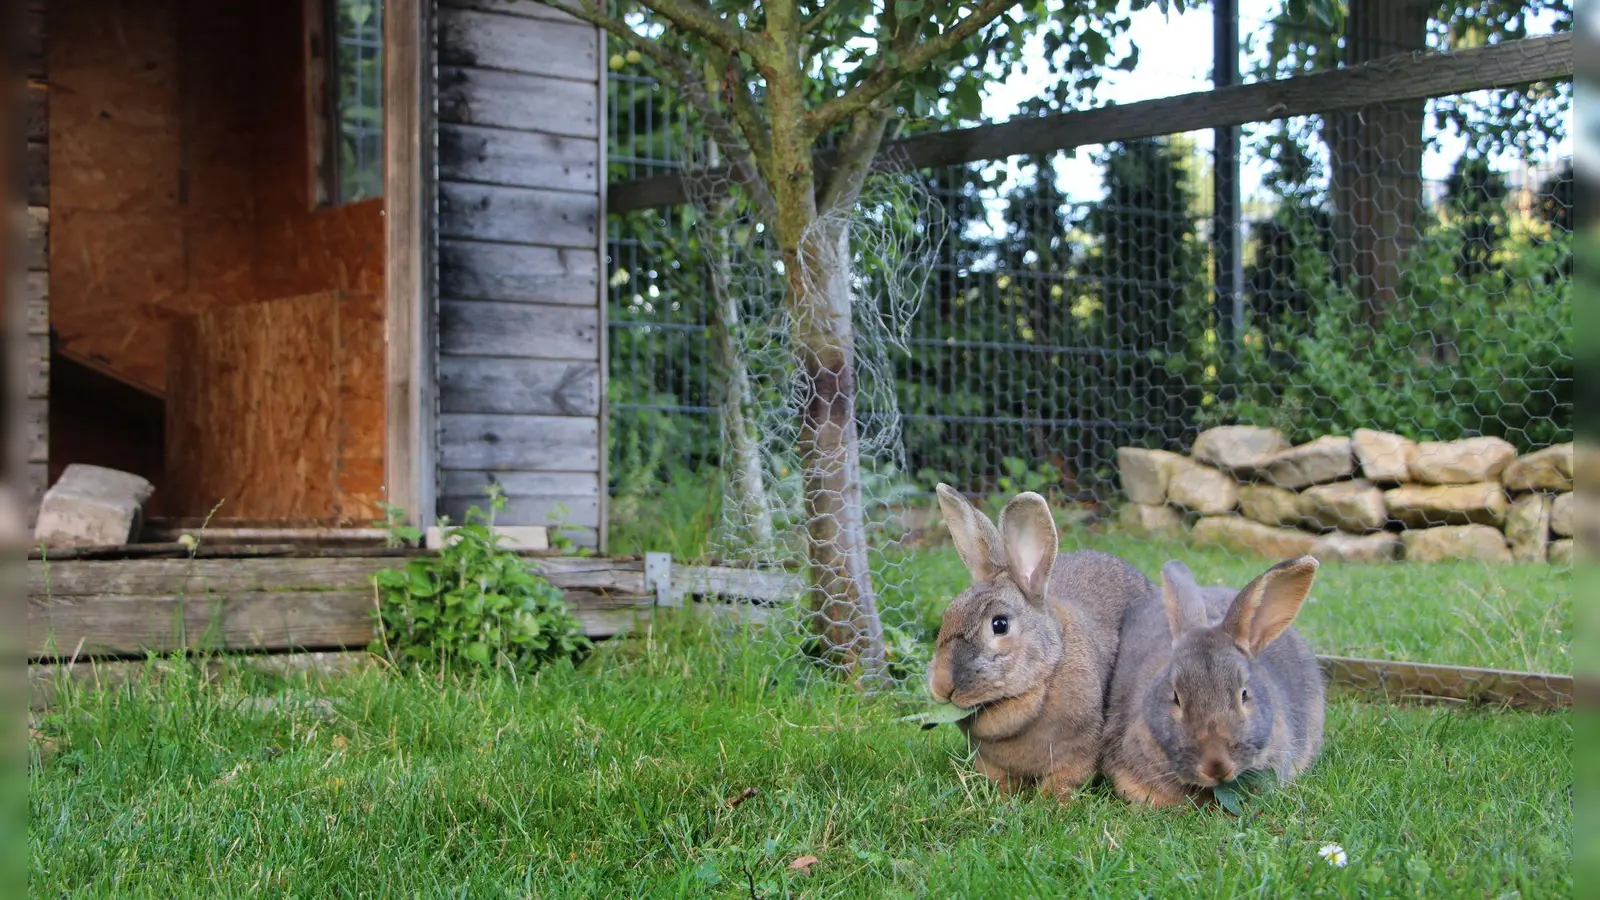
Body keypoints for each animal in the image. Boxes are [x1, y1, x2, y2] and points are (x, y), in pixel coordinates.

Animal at [926, 484, 1153, 799]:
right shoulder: (990, 762)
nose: (941, 685)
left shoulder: (1077, 755)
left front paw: (1054, 803)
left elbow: (1062, 782)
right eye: (949, 614)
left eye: (1000, 624)